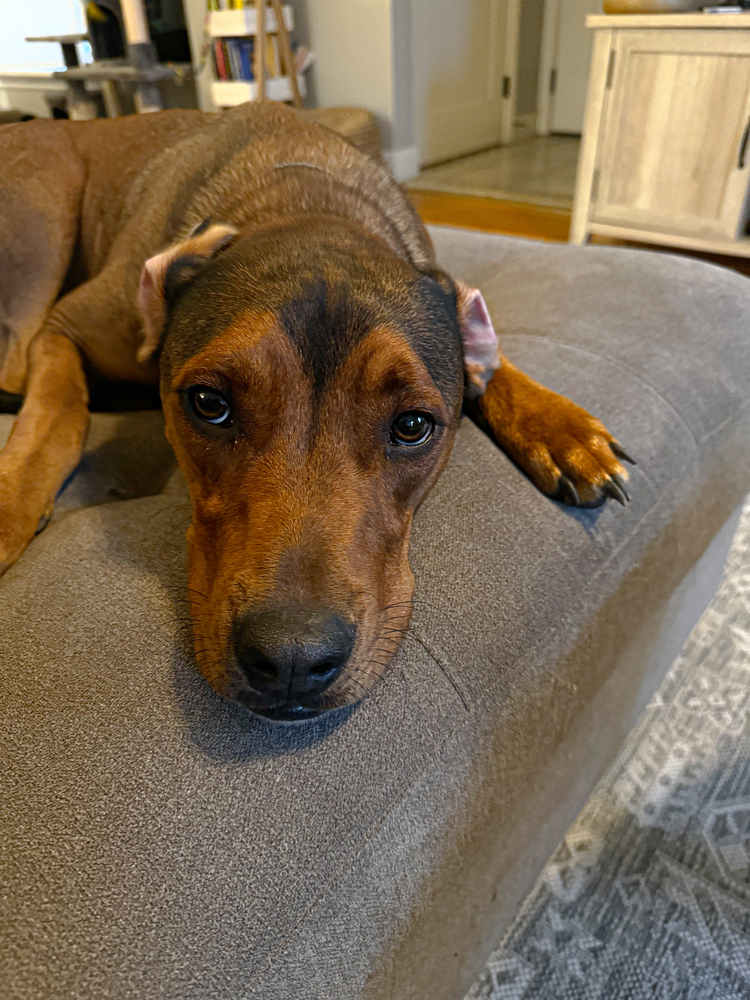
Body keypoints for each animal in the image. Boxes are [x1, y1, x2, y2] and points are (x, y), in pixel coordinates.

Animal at [1, 101, 636, 720]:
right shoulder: (63, 328)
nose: (292, 661)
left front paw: (560, 428)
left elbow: (493, 360)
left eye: (412, 426)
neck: (305, 198)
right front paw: (9, 505)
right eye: (210, 404)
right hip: (43, 211)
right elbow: (56, 416)